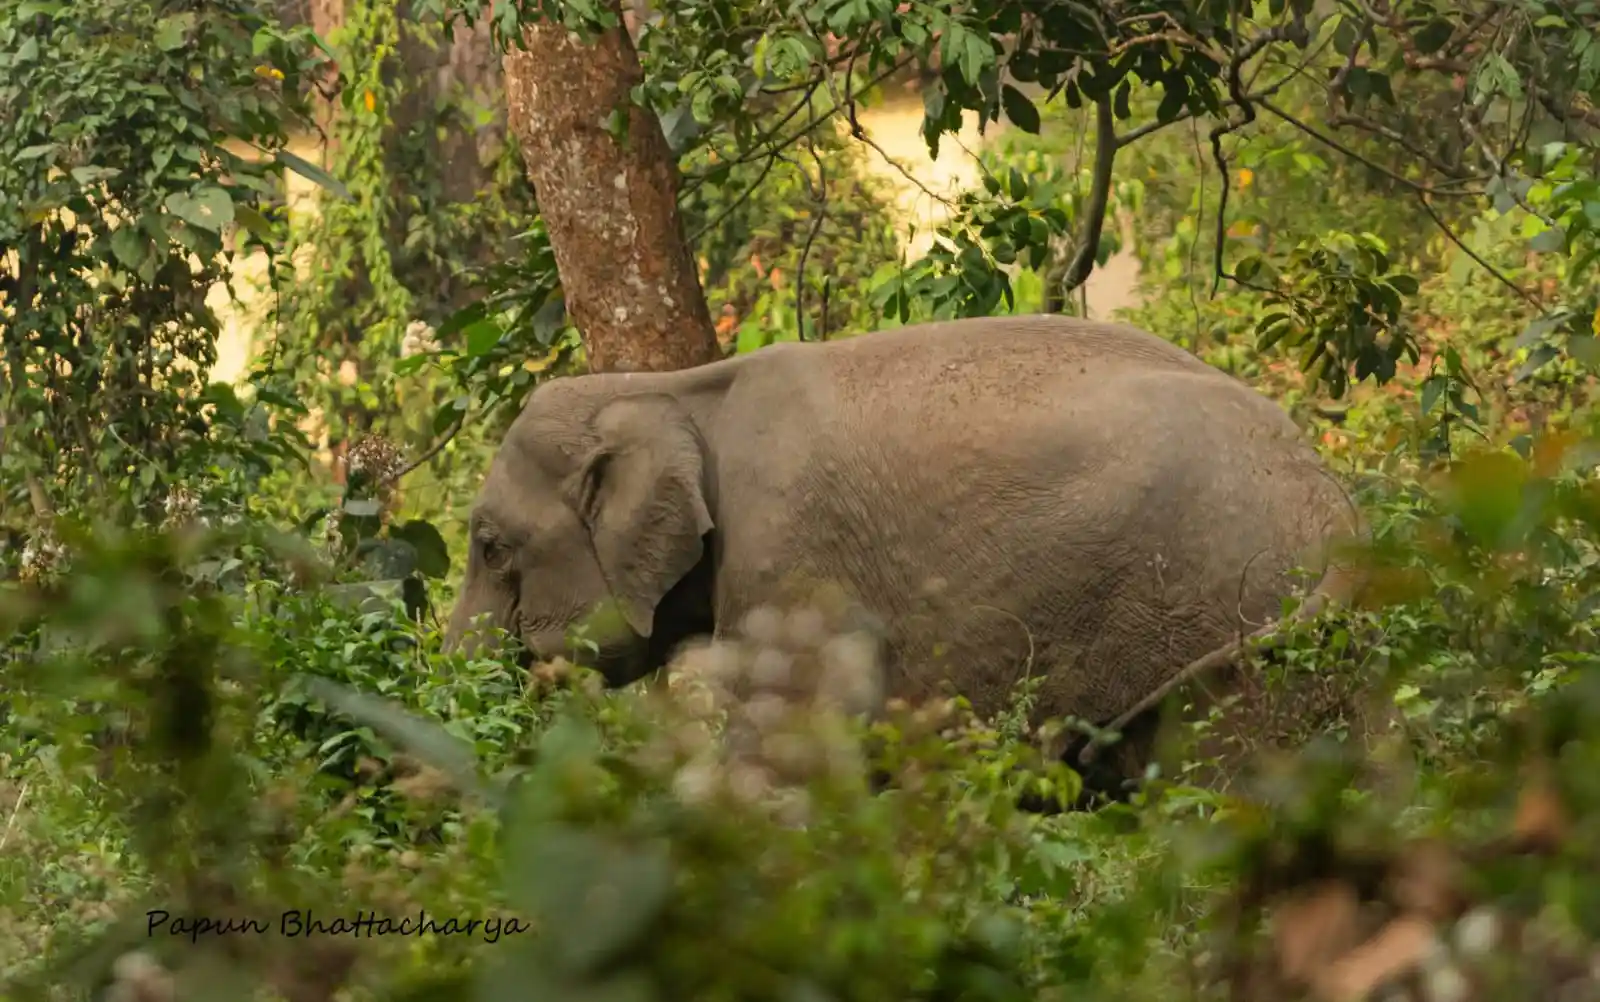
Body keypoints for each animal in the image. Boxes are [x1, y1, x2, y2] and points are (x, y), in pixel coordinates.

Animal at [444, 314, 1362, 798]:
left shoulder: (792, 559)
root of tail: (1338, 505)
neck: (673, 387)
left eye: (490, 546)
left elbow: (789, 746)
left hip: (1230, 607)